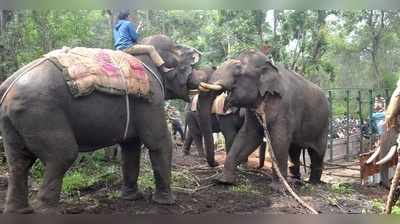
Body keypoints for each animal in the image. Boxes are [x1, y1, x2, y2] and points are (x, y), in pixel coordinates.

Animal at [0, 35, 205, 214]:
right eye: (189, 65)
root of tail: (8, 85)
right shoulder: (151, 95)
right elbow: (158, 141)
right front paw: (167, 203)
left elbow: (130, 146)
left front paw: (131, 198)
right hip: (41, 112)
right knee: (61, 156)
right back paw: (47, 212)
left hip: (15, 120)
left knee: (19, 162)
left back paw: (19, 211)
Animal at [200, 50, 328, 185]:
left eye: (238, 71)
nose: (215, 163)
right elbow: (248, 135)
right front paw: (223, 180)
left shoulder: (284, 107)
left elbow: (279, 140)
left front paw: (278, 187)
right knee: (294, 151)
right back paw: (296, 180)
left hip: (323, 126)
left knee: (317, 153)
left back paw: (313, 183)